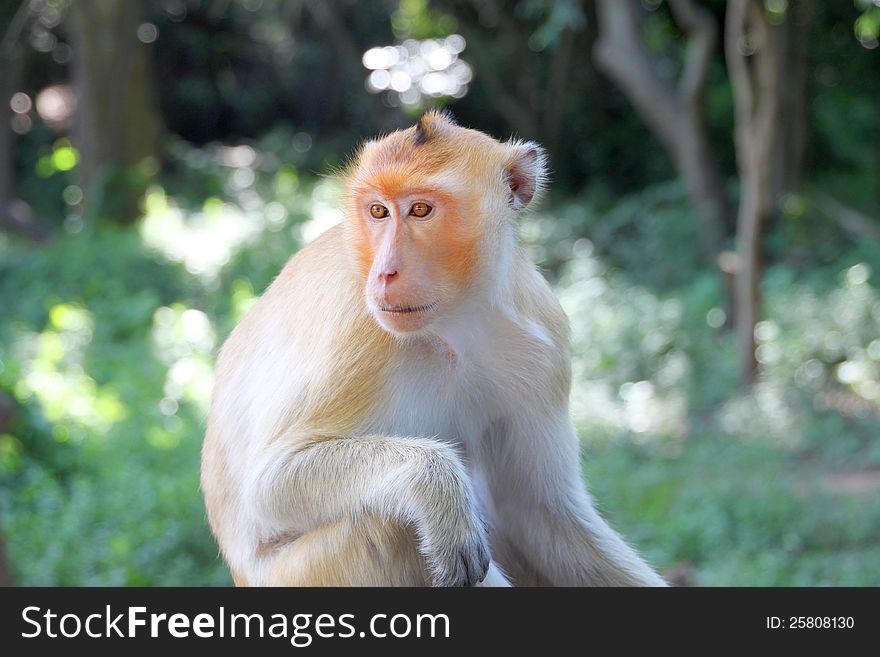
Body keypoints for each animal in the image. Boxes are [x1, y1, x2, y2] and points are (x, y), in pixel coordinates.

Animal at [201, 110, 668, 588]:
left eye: (420, 210)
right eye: (378, 211)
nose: (384, 273)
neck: (451, 326)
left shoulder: (544, 344)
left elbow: (538, 511)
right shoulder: (358, 328)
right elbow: (268, 484)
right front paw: (434, 485)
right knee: (393, 529)